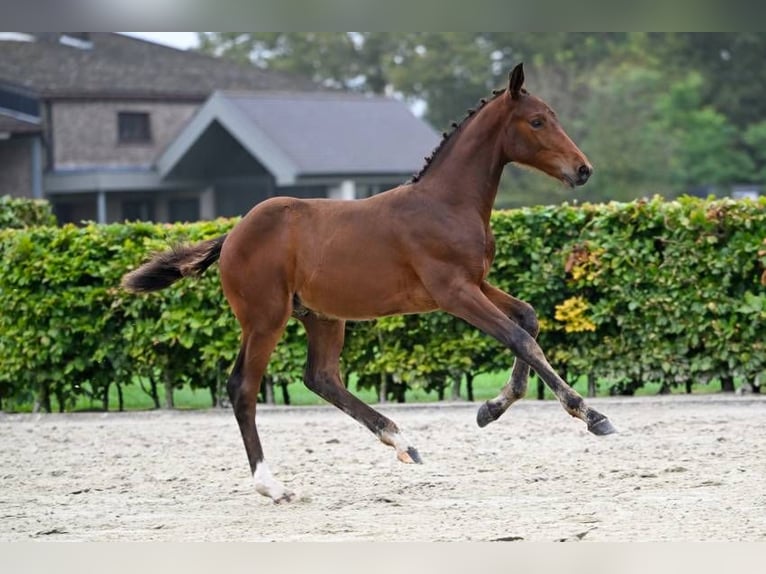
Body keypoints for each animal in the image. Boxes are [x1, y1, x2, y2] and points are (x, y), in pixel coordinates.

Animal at [126, 64, 616, 504]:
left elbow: (528, 320)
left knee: (321, 377)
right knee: (243, 388)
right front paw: (590, 414)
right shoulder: (453, 292)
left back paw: (401, 441)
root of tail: (232, 234)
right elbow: (519, 337)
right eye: (536, 121)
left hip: (322, 316)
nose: (583, 169)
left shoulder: (476, 283)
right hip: (266, 318)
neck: (446, 203)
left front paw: (490, 409)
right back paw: (274, 486)